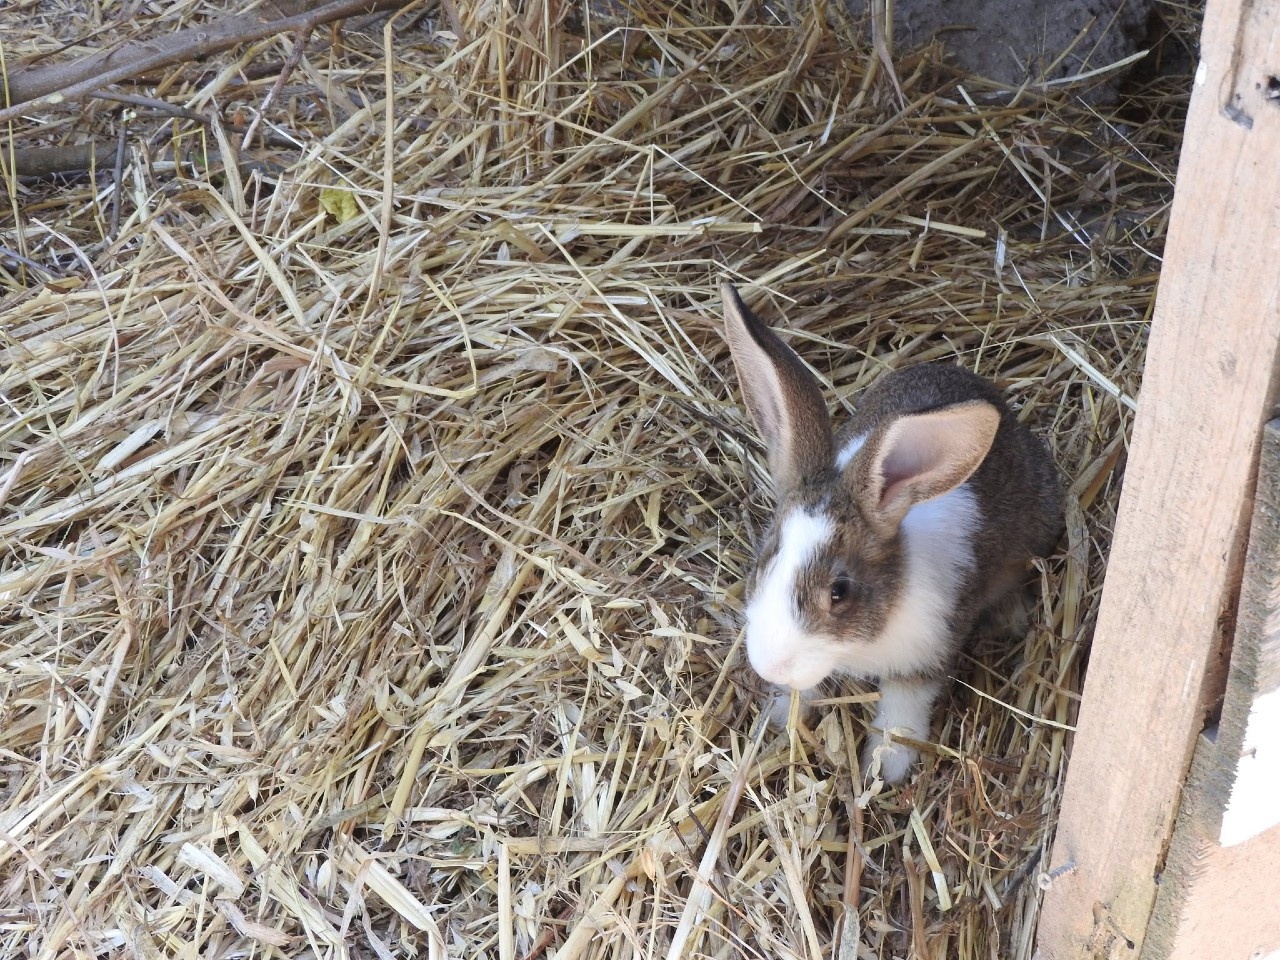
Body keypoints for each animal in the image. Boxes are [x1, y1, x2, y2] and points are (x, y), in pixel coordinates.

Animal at [720, 282, 1063, 783]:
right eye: (765, 560)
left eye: (840, 591)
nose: (770, 665)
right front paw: (781, 718)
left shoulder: (923, 659)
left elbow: (901, 715)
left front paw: (883, 770)